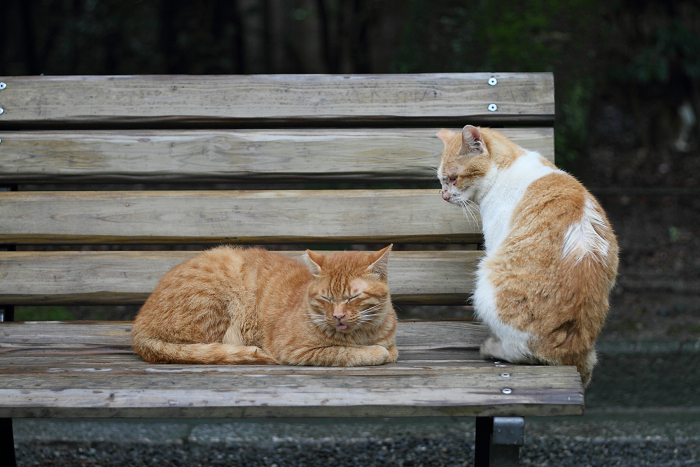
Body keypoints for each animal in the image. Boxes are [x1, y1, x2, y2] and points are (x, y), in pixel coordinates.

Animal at [129, 247, 396, 368]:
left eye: (352, 298)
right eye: (326, 299)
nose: (338, 316)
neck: (363, 334)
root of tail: (138, 329)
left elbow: (390, 350)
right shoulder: (294, 351)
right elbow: (343, 352)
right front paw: (371, 352)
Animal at [434, 126, 620, 386]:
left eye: (452, 178)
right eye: (441, 180)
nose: (444, 196)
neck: (507, 168)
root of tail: (573, 350)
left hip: (486, 286)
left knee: (521, 351)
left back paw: (491, 347)